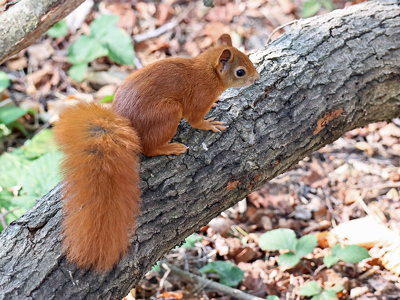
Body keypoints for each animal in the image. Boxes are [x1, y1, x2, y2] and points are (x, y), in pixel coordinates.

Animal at [54, 34, 260, 270]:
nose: (257, 78)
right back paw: (170, 148)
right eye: (240, 72)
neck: (208, 72)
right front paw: (210, 124)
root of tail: (125, 125)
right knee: (149, 149)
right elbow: (196, 120)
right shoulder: (199, 98)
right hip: (168, 113)